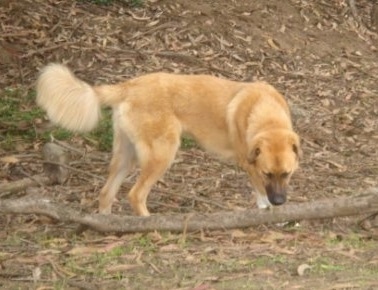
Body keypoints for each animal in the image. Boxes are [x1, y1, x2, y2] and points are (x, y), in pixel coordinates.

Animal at [36, 64, 302, 216]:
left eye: (287, 174)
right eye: (268, 173)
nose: (280, 202)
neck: (266, 115)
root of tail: (128, 86)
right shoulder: (250, 165)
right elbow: (261, 192)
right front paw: (268, 209)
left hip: (126, 157)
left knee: (105, 193)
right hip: (162, 154)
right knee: (135, 195)